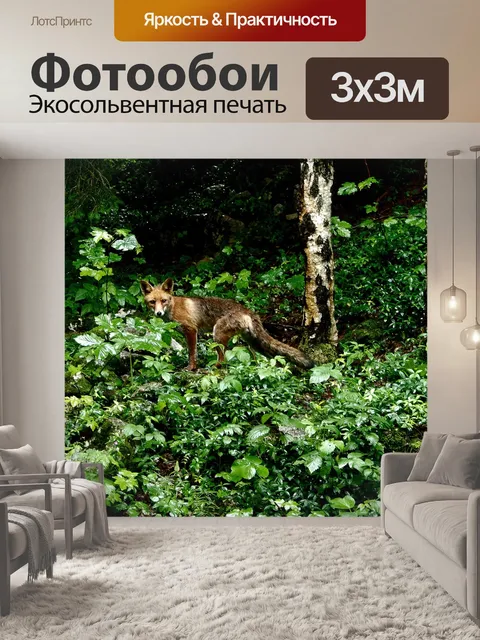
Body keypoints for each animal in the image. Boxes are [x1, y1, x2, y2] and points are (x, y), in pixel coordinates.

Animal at [140, 278, 315, 371]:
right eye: (152, 302)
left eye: (164, 300)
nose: (158, 314)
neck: (174, 307)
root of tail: (247, 310)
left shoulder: (191, 330)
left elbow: (192, 354)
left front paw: (191, 368)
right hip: (253, 342)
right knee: (268, 356)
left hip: (217, 335)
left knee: (223, 360)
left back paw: (214, 368)